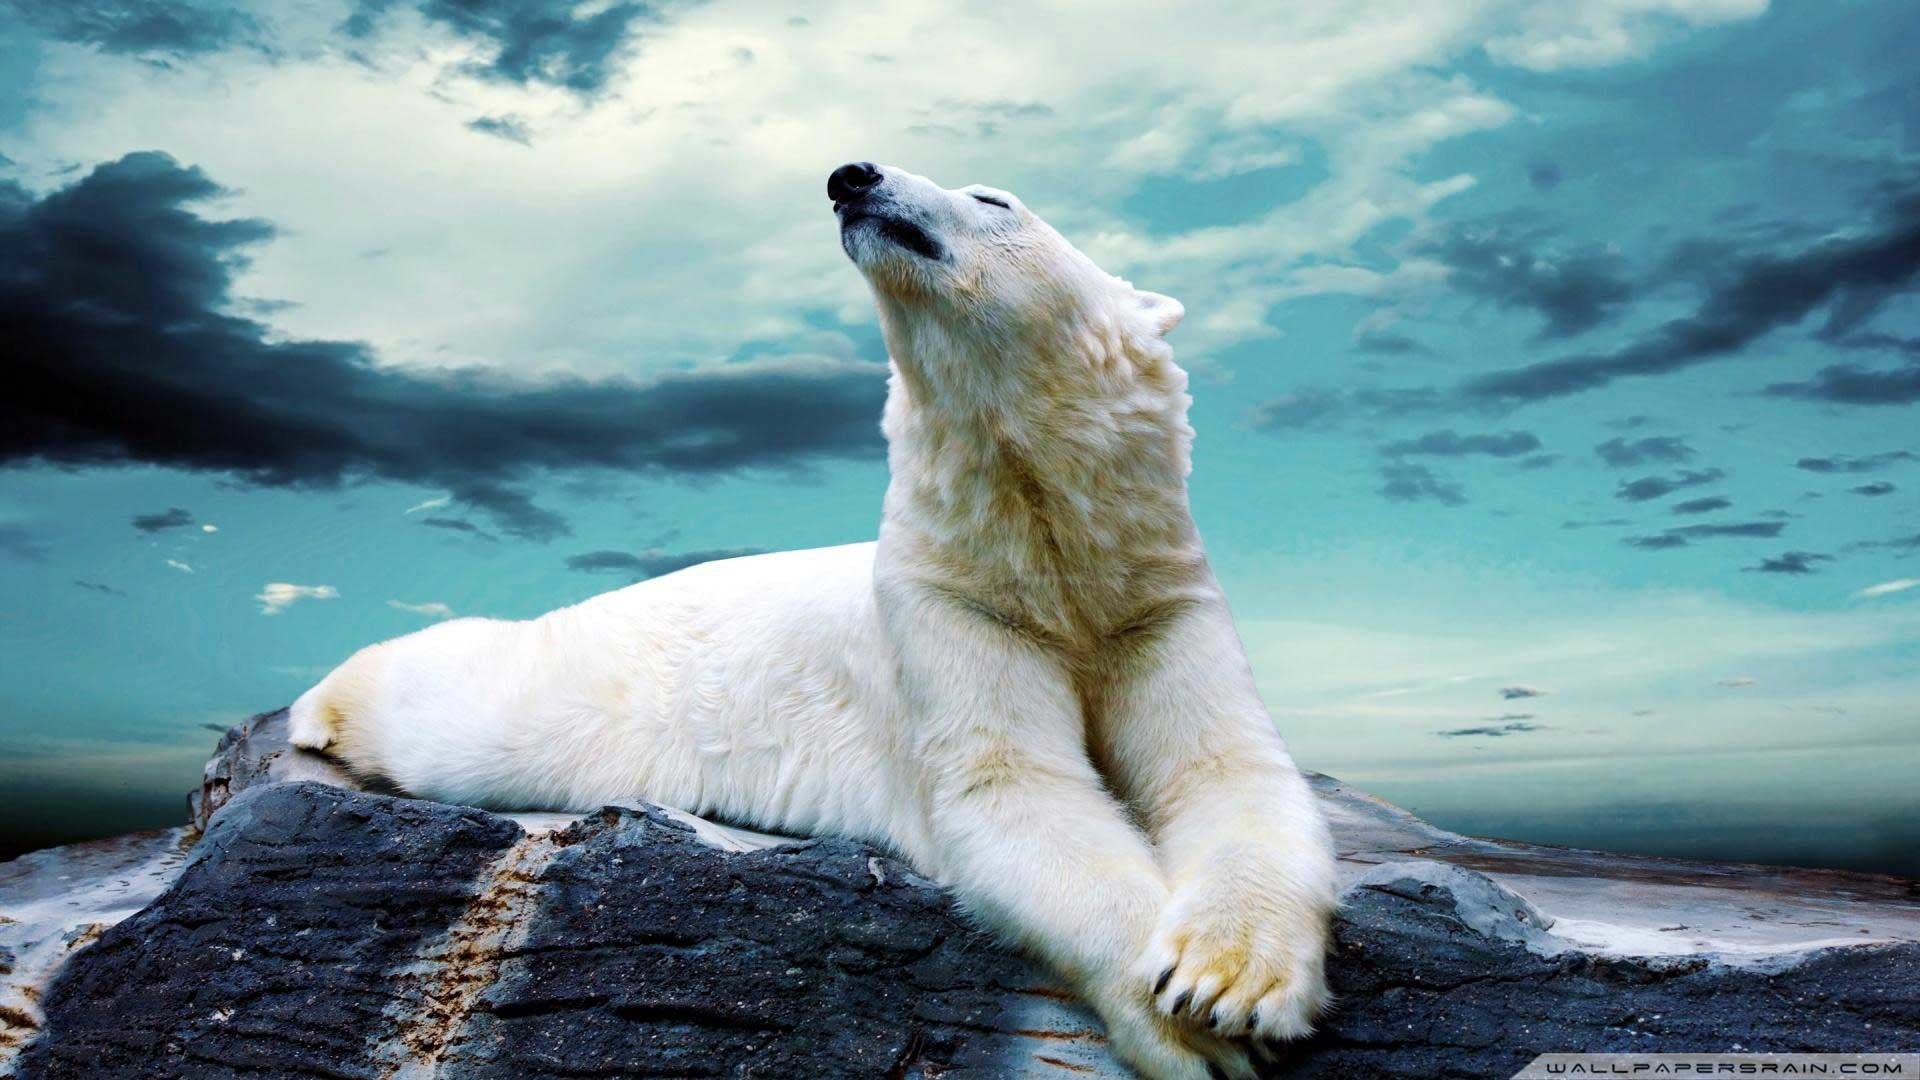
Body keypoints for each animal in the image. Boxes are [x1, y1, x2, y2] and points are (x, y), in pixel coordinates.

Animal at [289, 162, 1337, 1079]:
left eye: (994, 198)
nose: (851, 176)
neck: (1045, 549)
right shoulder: (947, 605)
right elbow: (1014, 790)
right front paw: (1190, 1025)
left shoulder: (1153, 598)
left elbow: (1228, 770)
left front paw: (1226, 982)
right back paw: (319, 711)